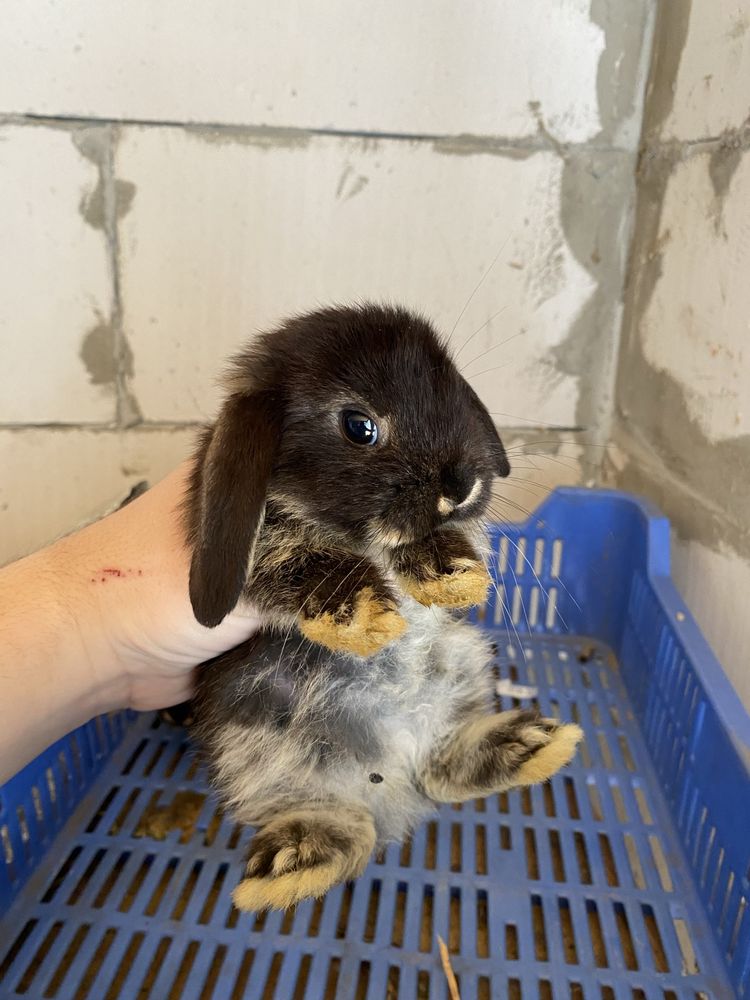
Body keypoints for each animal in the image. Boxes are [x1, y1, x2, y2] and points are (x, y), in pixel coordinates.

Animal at [185, 304, 584, 916]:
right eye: (359, 426)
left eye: (453, 392)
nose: (461, 485)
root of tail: (389, 775)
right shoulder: (271, 546)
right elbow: (295, 552)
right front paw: (370, 616)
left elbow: (439, 541)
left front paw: (455, 578)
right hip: (254, 742)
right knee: (344, 821)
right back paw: (291, 866)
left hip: (460, 669)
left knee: (438, 771)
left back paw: (531, 744)